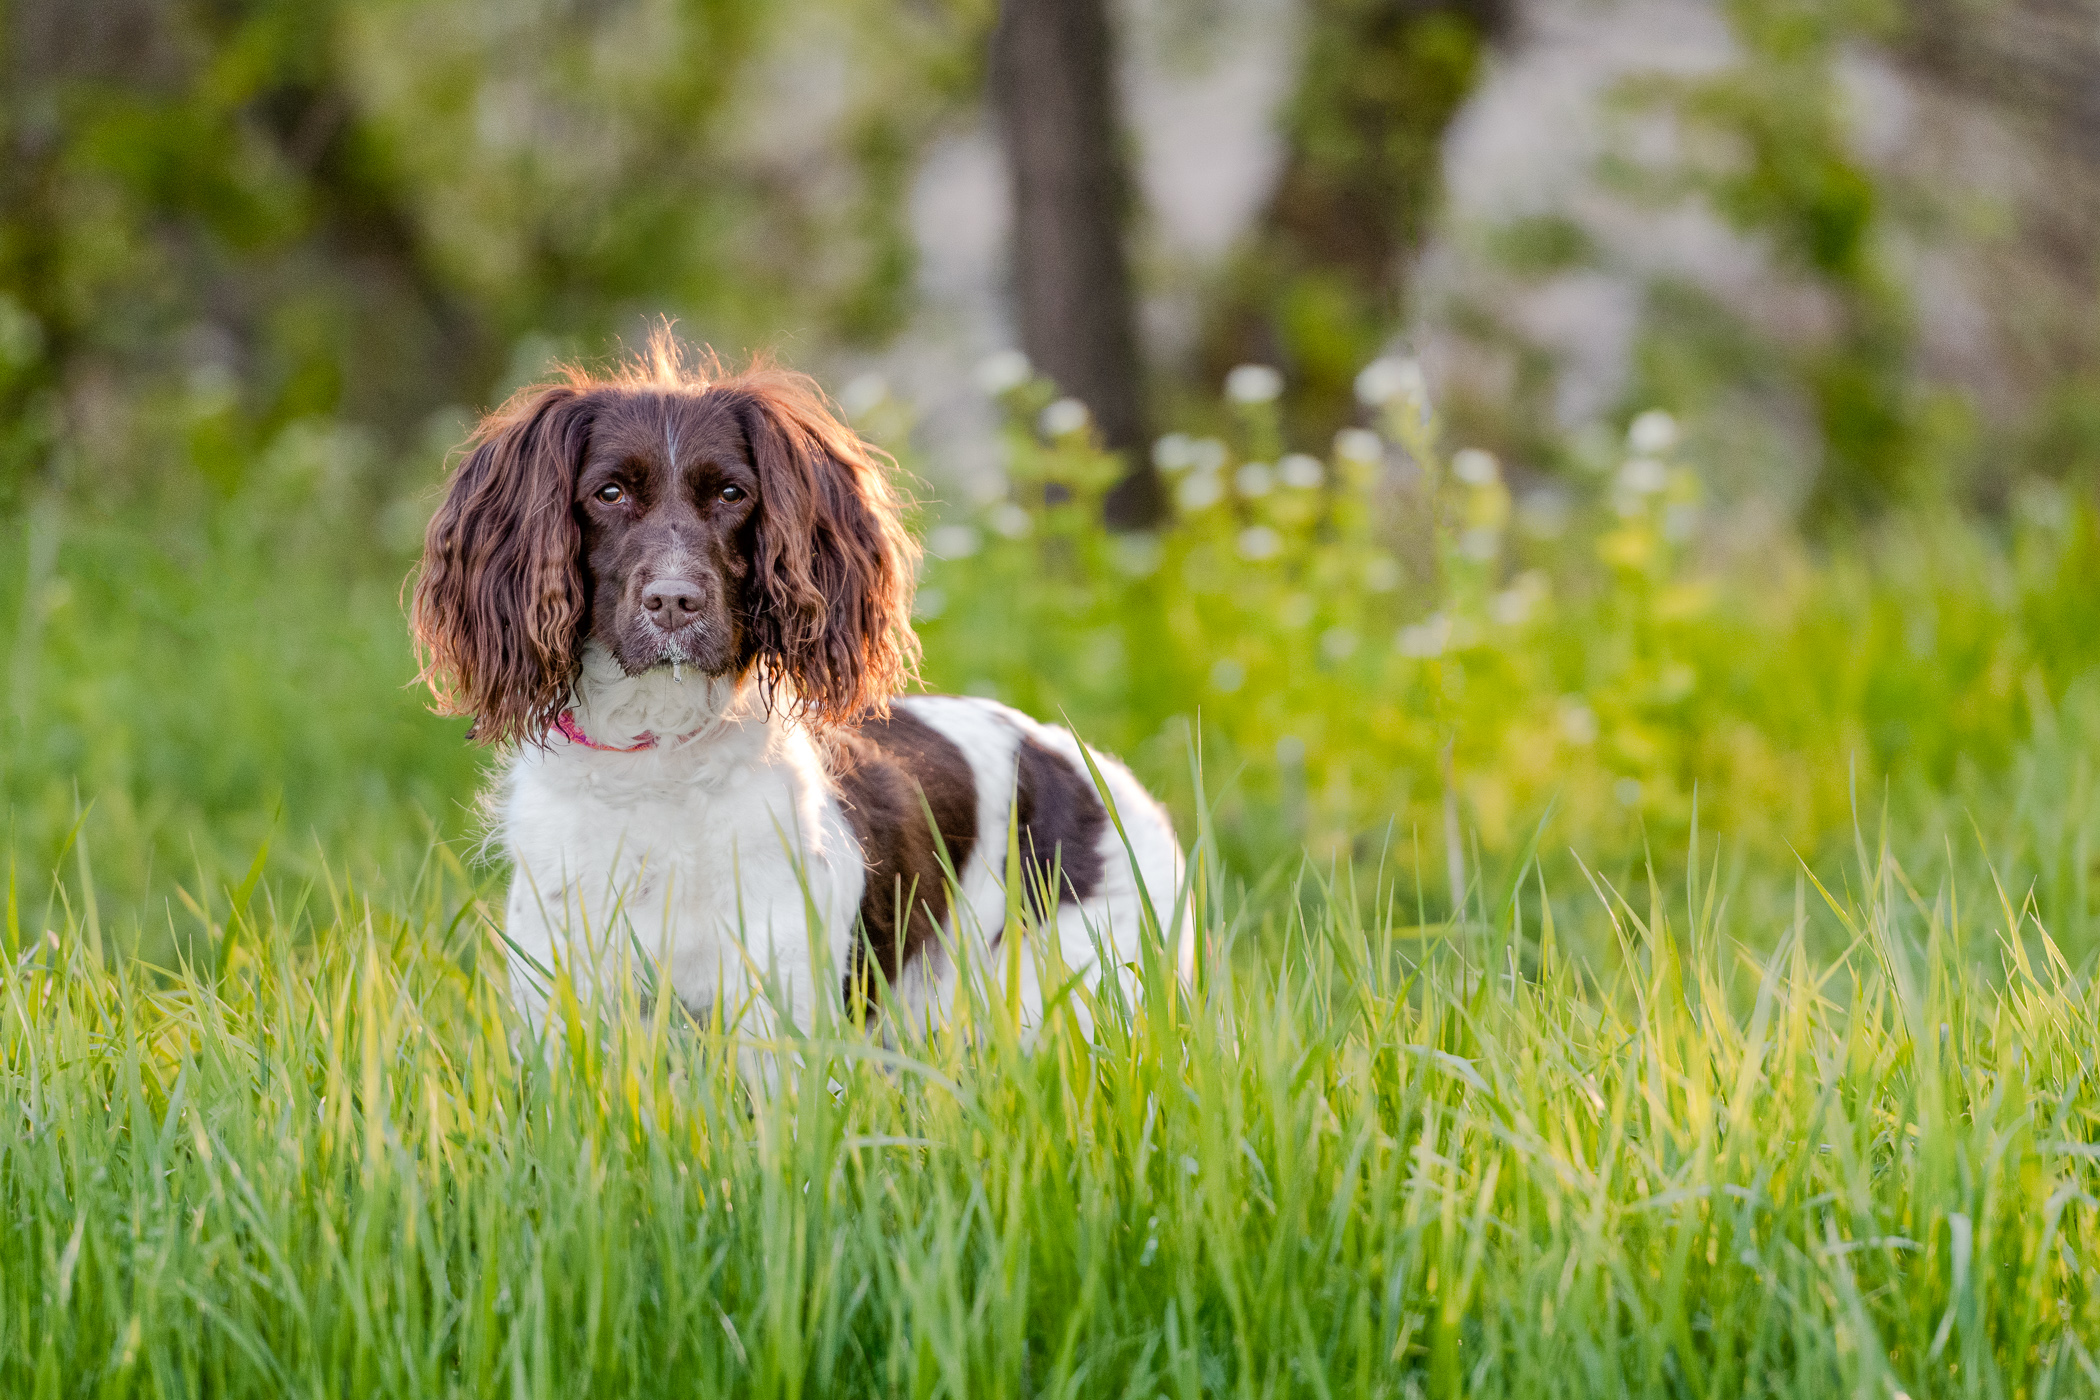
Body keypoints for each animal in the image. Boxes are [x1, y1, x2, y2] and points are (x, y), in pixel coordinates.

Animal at [409, 342, 1192, 1041]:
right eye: (609, 493)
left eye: (732, 493)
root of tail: (1078, 761)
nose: (674, 602)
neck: (656, 758)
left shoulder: (779, 1012)